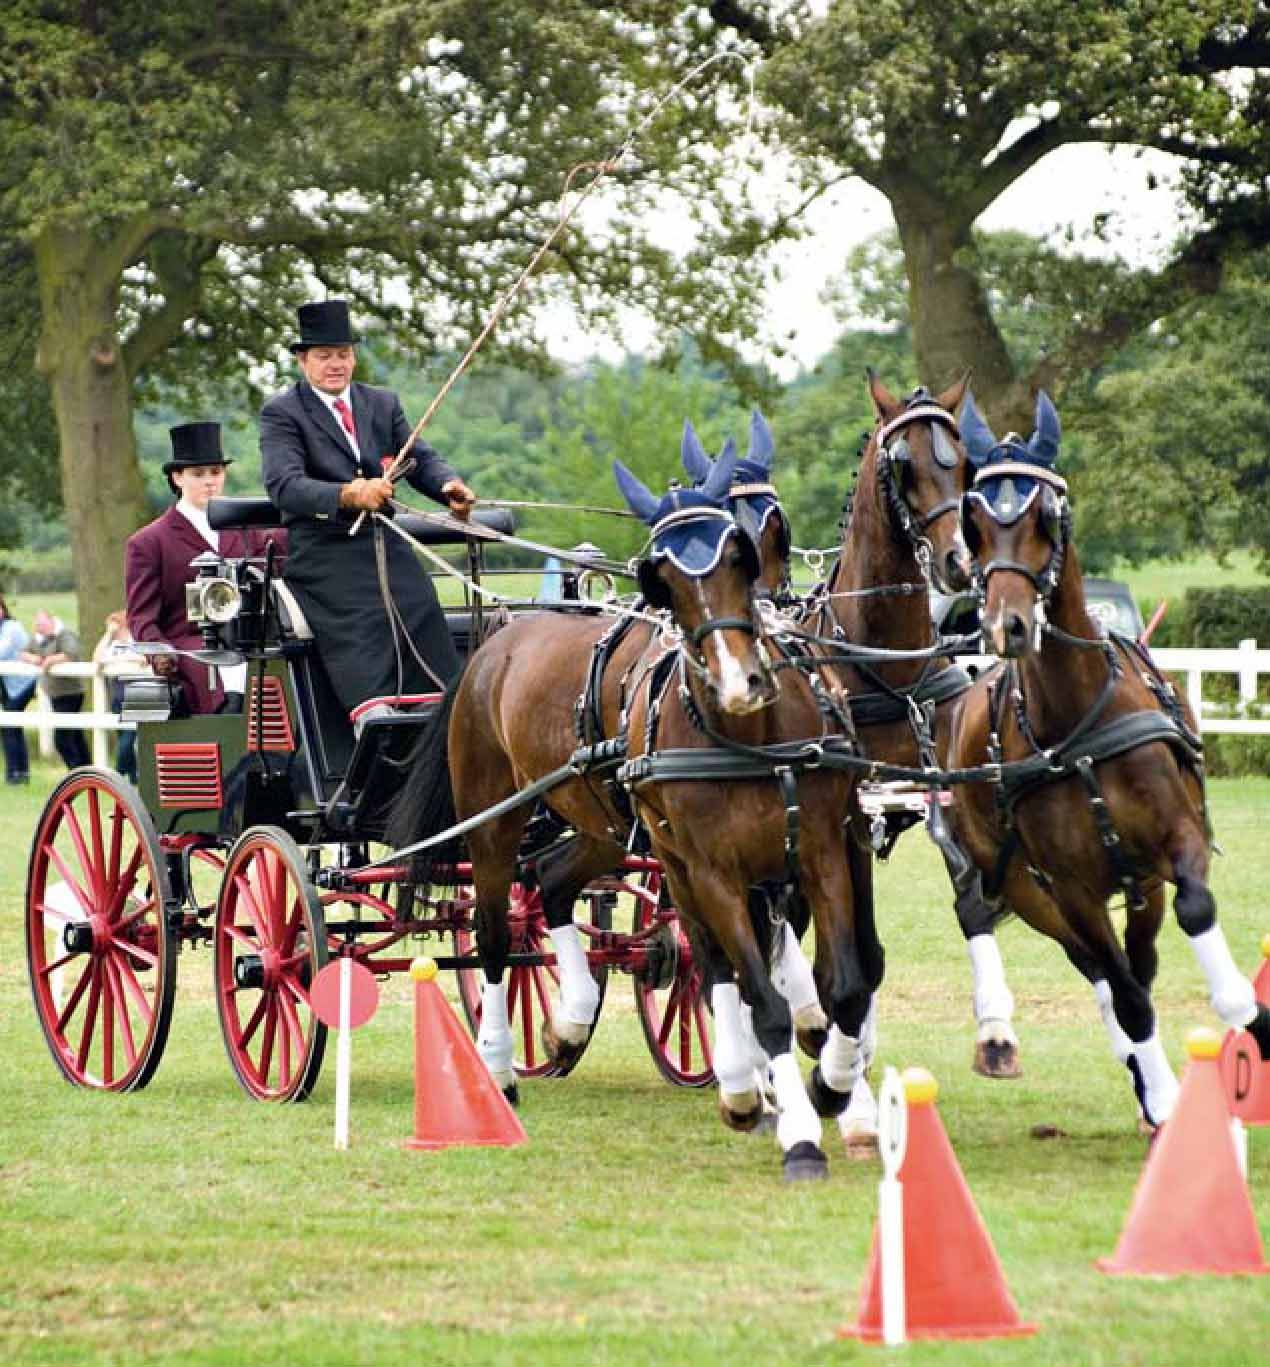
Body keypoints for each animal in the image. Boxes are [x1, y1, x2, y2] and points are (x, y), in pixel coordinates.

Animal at [390, 431, 874, 1181]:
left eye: (754, 542)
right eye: (660, 576)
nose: (741, 680)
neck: (748, 736)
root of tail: (496, 640)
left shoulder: (817, 851)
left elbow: (834, 980)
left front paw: (829, 1089)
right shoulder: (713, 869)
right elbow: (757, 990)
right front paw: (790, 1120)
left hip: (602, 825)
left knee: (552, 883)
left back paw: (572, 1018)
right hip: (497, 824)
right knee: (494, 933)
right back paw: (498, 1072)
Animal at [946, 388, 1268, 1120]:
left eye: (1046, 513)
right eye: (975, 521)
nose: (1005, 625)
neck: (1076, 723)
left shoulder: (1178, 841)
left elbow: (1194, 916)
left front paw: (1248, 1014)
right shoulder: (1072, 889)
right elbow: (1126, 995)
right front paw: (1164, 1098)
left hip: (1141, 881)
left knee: (1138, 960)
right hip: (1030, 889)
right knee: (1104, 971)